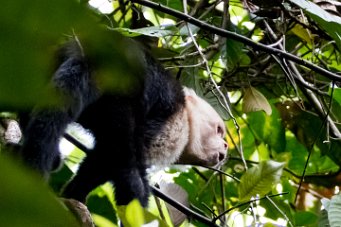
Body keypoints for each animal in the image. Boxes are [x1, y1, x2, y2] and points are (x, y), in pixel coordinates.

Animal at [17, 36, 226, 206]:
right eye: (219, 130)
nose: (225, 146)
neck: (187, 117)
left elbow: (99, 161)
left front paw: (73, 195)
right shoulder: (175, 126)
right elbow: (111, 156)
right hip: (120, 91)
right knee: (122, 143)